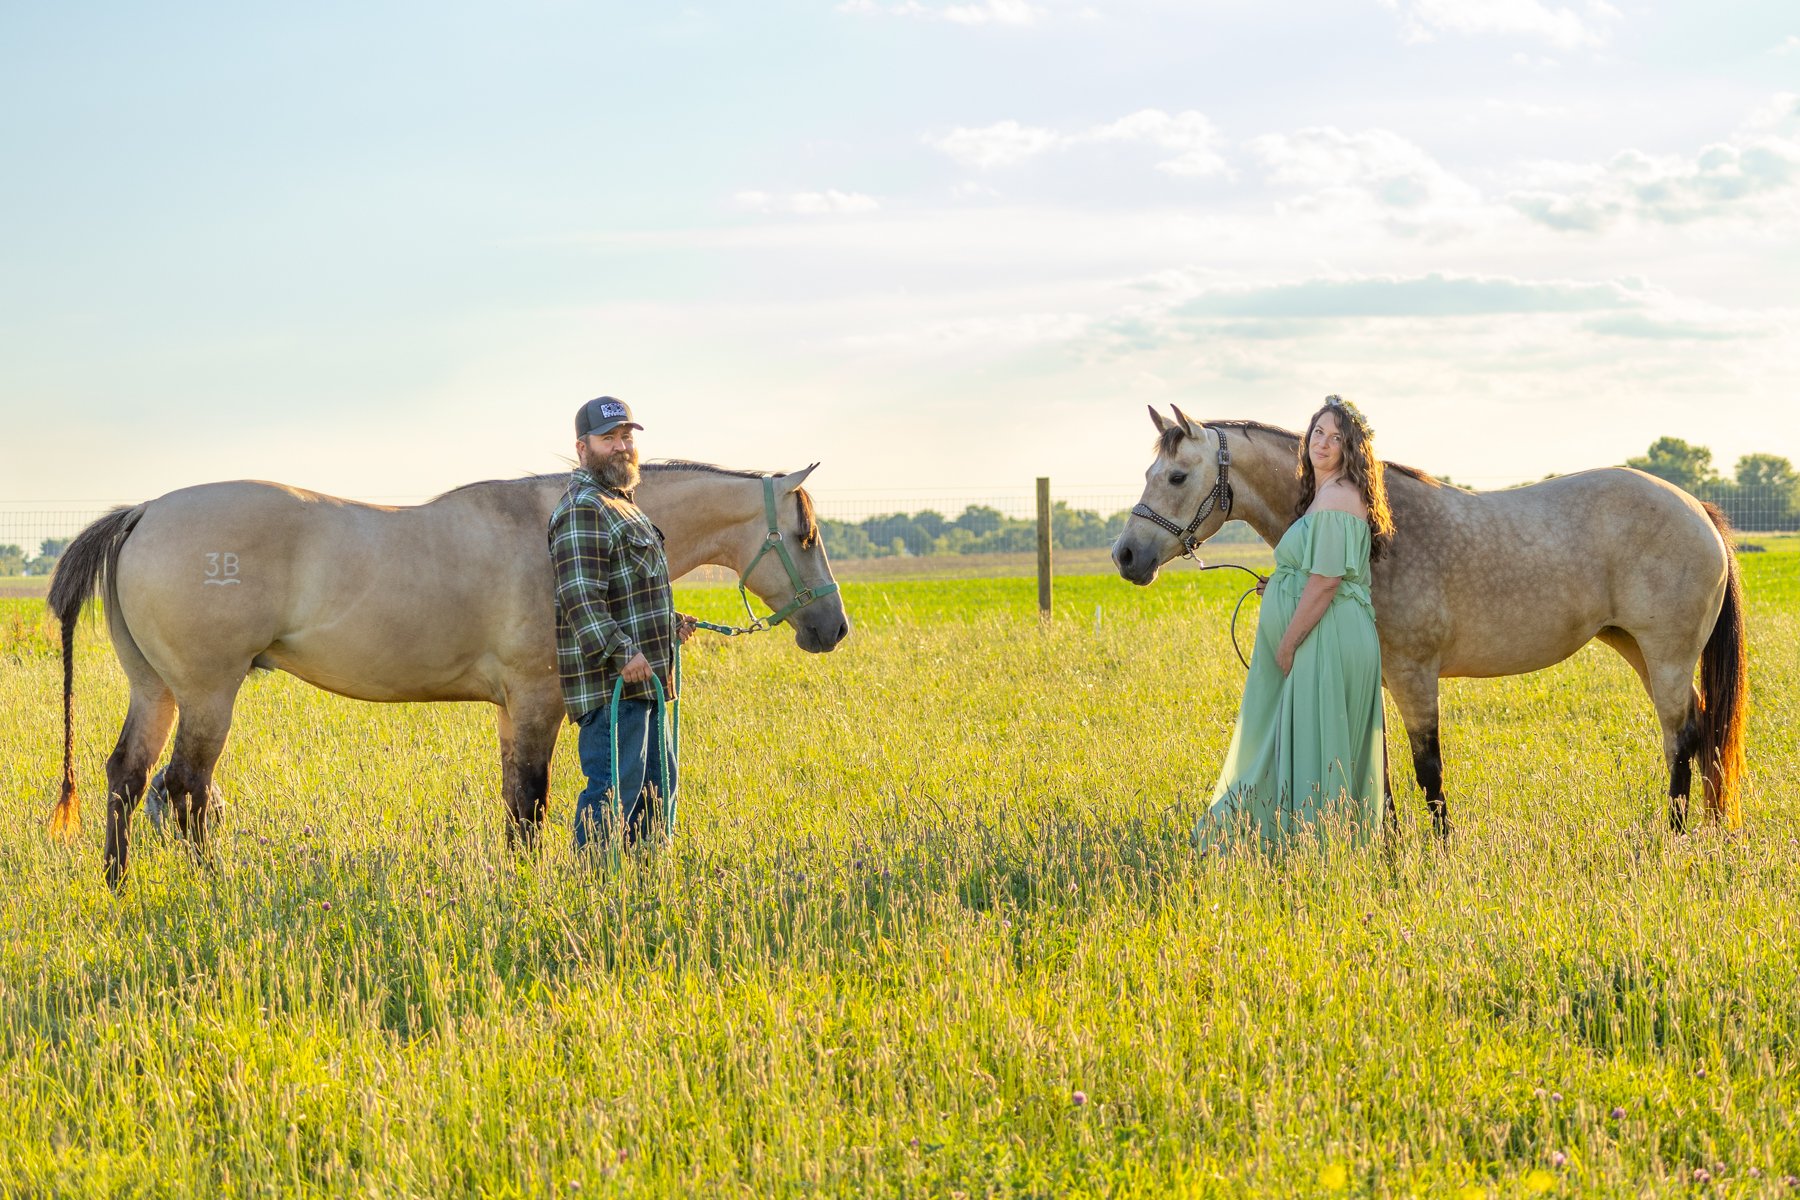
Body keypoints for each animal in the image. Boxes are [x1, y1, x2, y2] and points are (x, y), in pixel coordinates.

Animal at [48, 462, 851, 885]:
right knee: (185, 789)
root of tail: (144, 512)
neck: (562, 525)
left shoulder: (509, 709)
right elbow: (532, 800)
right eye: (807, 536)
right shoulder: (535, 700)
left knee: (128, 777)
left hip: (156, 690)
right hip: (208, 693)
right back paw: (206, 886)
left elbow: (514, 800)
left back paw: (119, 884)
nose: (833, 628)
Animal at [1113, 406, 1748, 836]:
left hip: (1665, 655)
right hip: (1637, 649)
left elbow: (1428, 770)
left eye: (1176, 476)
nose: (1126, 556)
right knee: (1698, 733)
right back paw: (1706, 829)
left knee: (1681, 737)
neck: (1381, 532)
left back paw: (1674, 836)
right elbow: (1380, 765)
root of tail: (1698, 509)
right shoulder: (1377, 673)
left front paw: (1439, 853)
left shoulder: (1415, 677)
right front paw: (1387, 845)